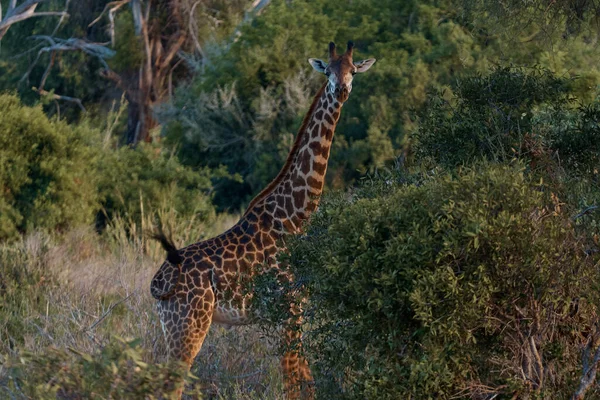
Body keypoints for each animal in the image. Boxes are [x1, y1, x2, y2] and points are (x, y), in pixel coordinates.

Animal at [150, 40, 376, 396]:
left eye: (353, 70)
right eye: (327, 70)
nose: (341, 90)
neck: (296, 216)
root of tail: (156, 284)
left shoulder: (295, 311)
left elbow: (306, 380)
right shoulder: (289, 307)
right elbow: (291, 382)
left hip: (174, 326)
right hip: (188, 325)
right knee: (169, 386)